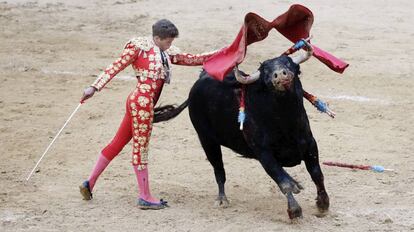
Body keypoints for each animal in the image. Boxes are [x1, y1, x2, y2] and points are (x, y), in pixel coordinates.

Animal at [153, 55, 330, 218]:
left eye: (288, 63)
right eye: (265, 72)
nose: (280, 74)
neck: (285, 120)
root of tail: (199, 81)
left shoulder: (310, 145)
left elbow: (317, 174)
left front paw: (323, 204)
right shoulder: (264, 153)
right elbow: (283, 182)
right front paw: (294, 211)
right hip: (207, 140)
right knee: (219, 170)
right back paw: (222, 200)